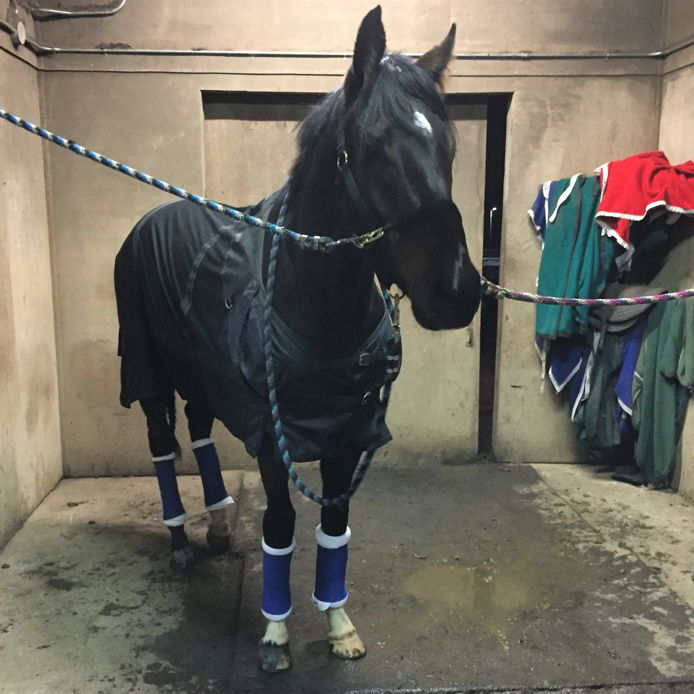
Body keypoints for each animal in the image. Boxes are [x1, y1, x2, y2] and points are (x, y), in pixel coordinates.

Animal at [114, 5, 480, 674]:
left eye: (448, 144)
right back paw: (179, 541)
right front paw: (275, 636)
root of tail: (149, 221)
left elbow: (334, 525)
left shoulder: (346, 433)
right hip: (147, 374)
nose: (457, 292)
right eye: (371, 147)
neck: (316, 312)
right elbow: (282, 525)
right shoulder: (271, 435)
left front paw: (338, 625)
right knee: (162, 447)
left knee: (200, 432)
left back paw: (218, 528)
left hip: (202, 375)